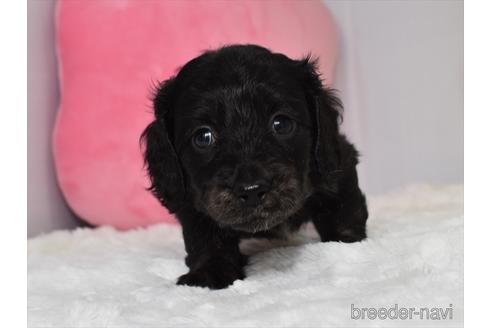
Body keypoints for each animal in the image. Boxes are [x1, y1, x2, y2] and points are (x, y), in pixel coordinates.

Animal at [140, 44, 368, 290]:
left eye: (282, 123)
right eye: (203, 137)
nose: (251, 190)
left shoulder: (336, 165)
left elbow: (343, 210)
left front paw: (347, 243)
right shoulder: (190, 198)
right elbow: (205, 236)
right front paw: (209, 273)